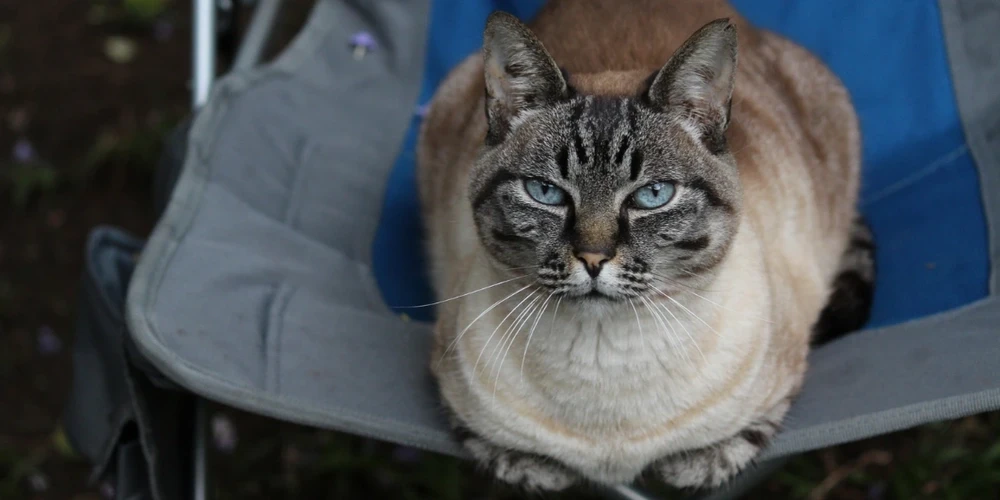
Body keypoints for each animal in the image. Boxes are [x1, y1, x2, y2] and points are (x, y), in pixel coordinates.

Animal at [414, 0, 876, 492]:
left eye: (652, 196)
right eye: (546, 192)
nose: (593, 258)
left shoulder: (777, 388)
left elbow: (717, 454)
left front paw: (682, 468)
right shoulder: (460, 403)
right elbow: (521, 461)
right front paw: (548, 471)